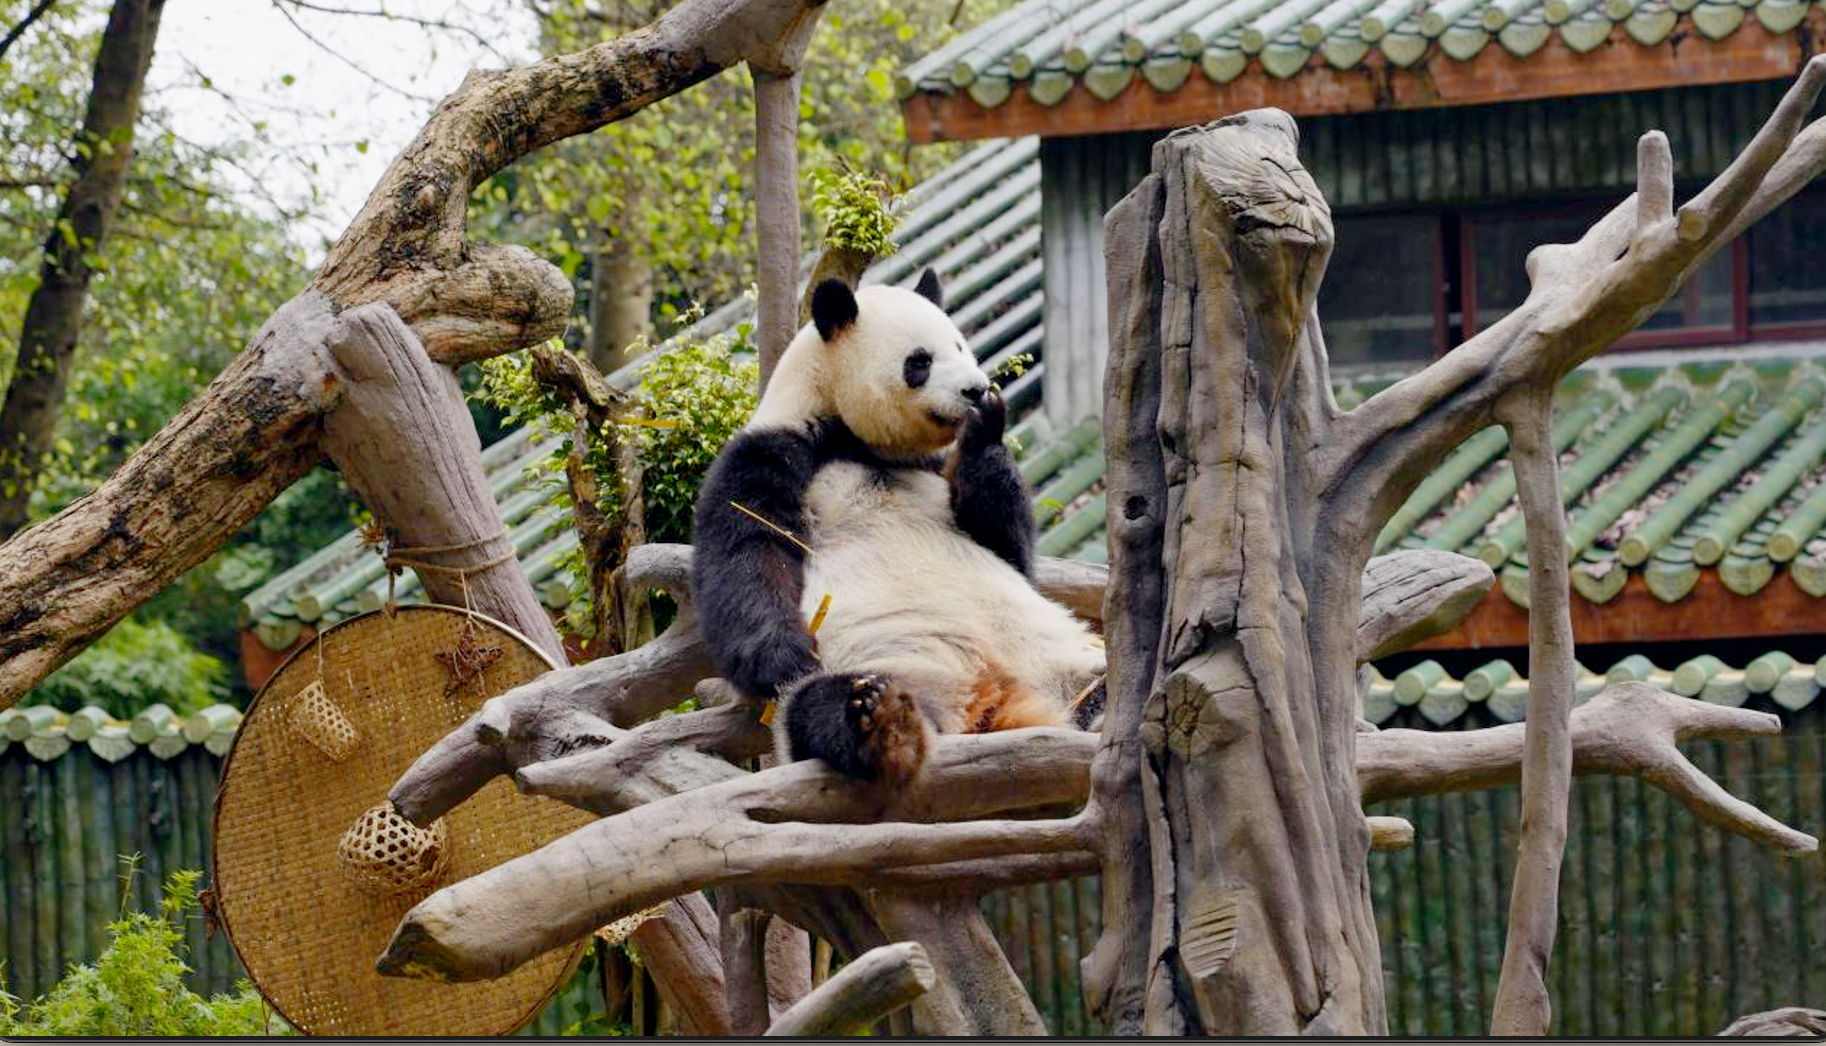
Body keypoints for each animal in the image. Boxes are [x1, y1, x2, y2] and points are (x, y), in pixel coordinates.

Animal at [690, 269, 1106, 786]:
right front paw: (783, 654)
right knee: (817, 704)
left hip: (1066, 655)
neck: (856, 440)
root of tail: (994, 699)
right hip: (891, 666)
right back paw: (881, 722)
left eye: (961, 347)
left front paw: (985, 427)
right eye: (920, 361)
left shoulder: (936, 469)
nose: (975, 389)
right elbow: (749, 547)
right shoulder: (772, 450)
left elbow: (1008, 549)